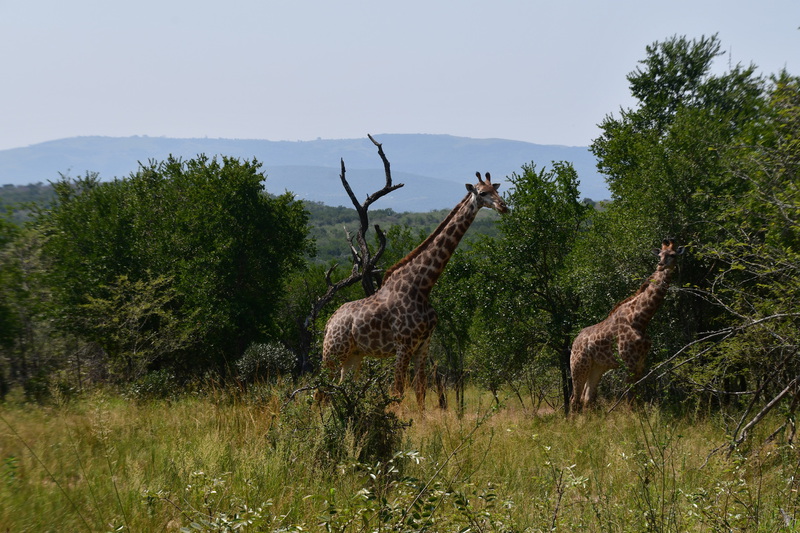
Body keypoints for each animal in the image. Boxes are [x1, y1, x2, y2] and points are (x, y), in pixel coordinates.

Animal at [320, 172, 508, 408]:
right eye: (482, 193)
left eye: (497, 190)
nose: (503, 206)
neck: (422, 286)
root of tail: (329, 322)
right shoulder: (404, 345)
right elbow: (398, 391)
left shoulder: (423, 345)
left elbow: (420, 392)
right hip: (333, 352)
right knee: (319, 392)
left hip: (354, 355)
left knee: (339, 389)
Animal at [569, 239, 684, 412]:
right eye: (659, 255)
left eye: (673, 255)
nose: (661, 265)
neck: (640, 319)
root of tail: (574, 342)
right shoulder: (629, 362)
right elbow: (629, 399)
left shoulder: (641, 362)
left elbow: (637, 397)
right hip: (579, 365)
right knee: (574, 400)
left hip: (597, 367)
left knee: (586, 398)